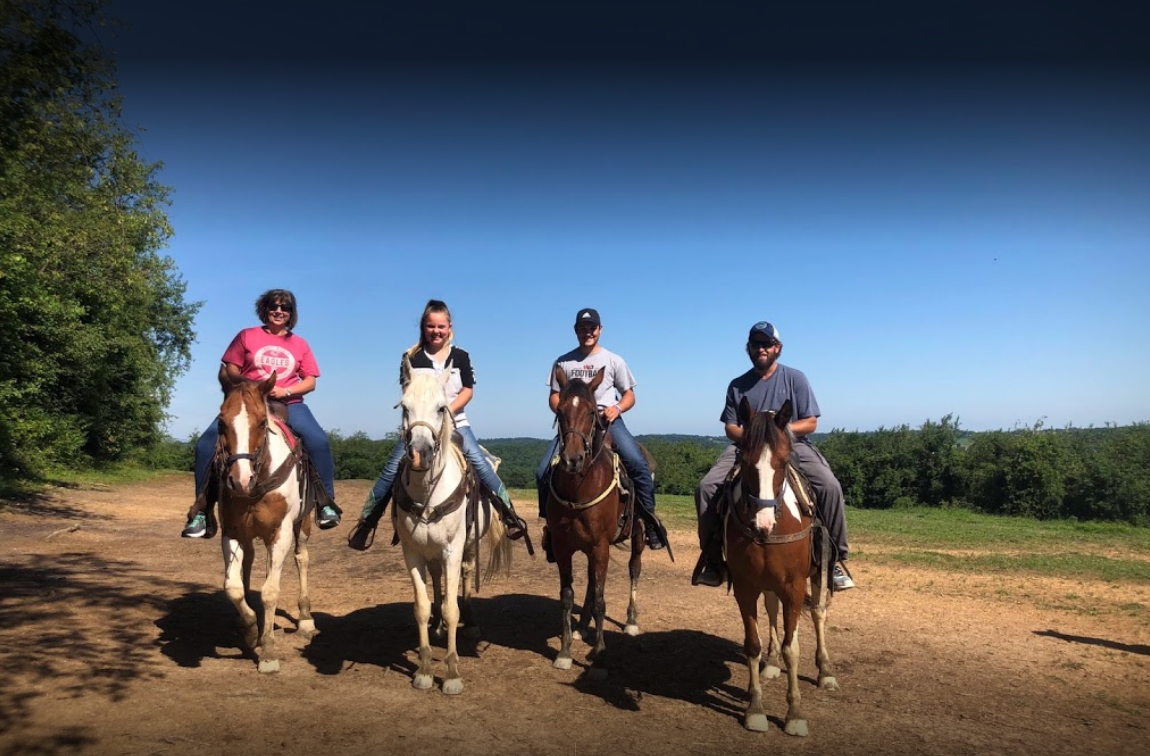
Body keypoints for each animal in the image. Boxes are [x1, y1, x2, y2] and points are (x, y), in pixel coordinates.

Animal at [213, 365, 315, 672]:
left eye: (261, 423)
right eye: (221, 422)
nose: (240, 480)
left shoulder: (280, 534)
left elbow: (270, 591)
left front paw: (268, 650)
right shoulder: (232, 532)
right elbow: (233, 587)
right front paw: (249, 630)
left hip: (303, 526)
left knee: (302, 558)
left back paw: (305, 617)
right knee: (247, 563)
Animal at [393, 356, 510, 695]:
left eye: (441, 408)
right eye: (404, 407)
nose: (419, 455)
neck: (428, 493)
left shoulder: (453, 549)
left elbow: (451, 608)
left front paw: (453, 673)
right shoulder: (412, 553)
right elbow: (421, 605)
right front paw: (423, 669)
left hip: (468, 546)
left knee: (466, 576)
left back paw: (469, 622)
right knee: (437, 580)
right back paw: (437, 626)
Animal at [542, 365, 644, 676]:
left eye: (591, 412)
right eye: (560, 410)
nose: (572, 459)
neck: (579, 487)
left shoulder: (601, 546)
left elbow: (600, 600)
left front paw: (599, 656)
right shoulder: (564, 547)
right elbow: (567, 595)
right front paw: (564, 651)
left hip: (637, 536)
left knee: (634, 569)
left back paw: (631, 621)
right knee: (589, 581)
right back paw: (582, 627)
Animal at [726, 395, 837, 731]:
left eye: (784, 461)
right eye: (744, 460)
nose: (762, 524)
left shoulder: (794, 585)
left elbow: (793, 649)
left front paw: (795, 714)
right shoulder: (745, 586)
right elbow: (753, 644)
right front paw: (756, 708)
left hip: (816, 574)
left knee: (818, 613)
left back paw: (826, 671)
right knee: (774, 610)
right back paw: (771, 664)